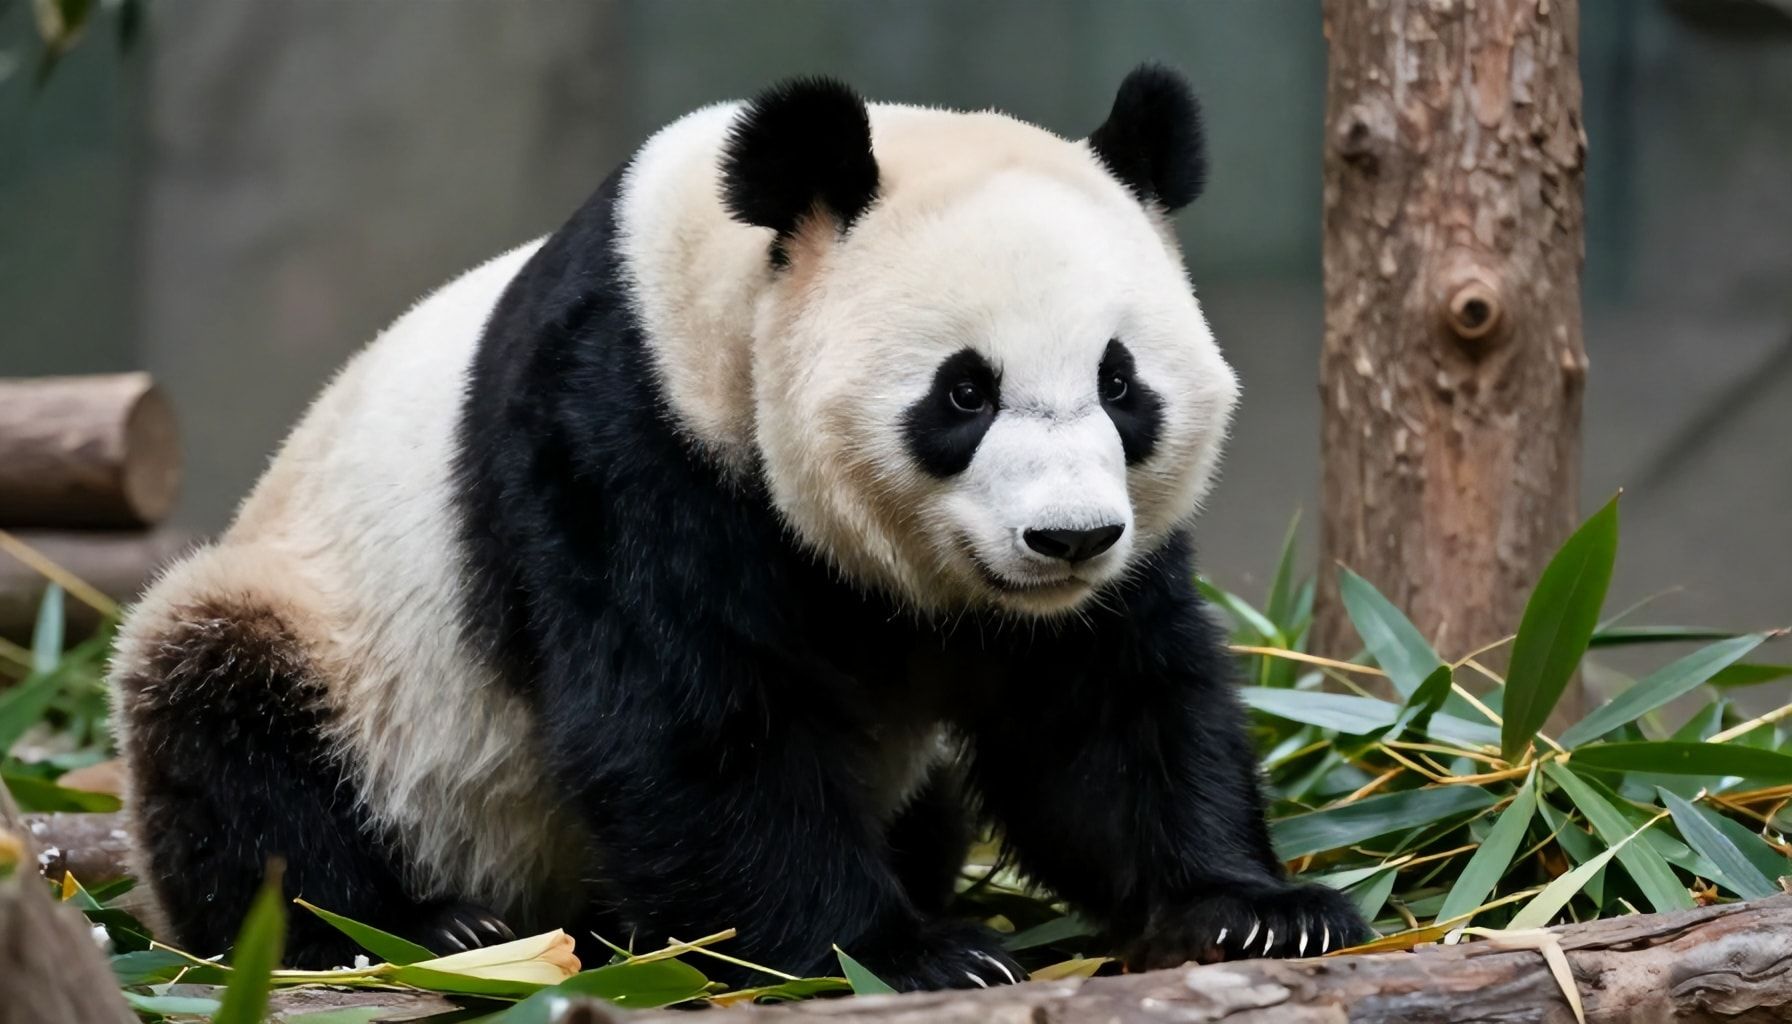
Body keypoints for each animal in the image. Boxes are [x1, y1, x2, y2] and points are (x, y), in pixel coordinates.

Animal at [110, 65, 1368, 990]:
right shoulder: (618, 441)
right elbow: (695, 727)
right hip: (326, 637)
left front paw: (1258, 912)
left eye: (1119, 383)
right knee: (235, 739)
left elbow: (1104, 708)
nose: (1066, 540)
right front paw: (912, 952)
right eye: (963, 392)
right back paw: (418, 929)